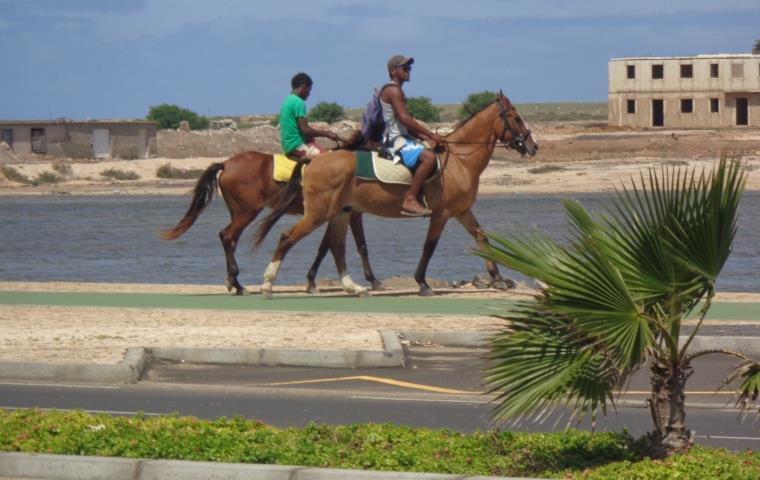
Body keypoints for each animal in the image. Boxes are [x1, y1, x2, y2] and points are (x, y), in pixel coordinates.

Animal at [163, 150, 382, 294]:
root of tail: (226, 163)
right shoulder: (350, 214)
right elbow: (358, 246)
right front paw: (373, 279)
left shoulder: (337, 214)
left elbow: (327, 247)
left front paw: (312, 281)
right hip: (247, 212)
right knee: (227, 236)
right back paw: (237, 283)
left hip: (238, 212)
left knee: (229, 239)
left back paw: (234, 282)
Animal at [255, 91, 540, 296]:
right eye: (515, 117)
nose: (533, 145)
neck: (460, 160)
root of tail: (314, 161)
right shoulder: (442, 214)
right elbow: (429, 246)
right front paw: (422, 282)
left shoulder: (462, 211)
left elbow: (482, 237)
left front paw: (498, 278)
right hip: (319, 213)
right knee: (288, 237)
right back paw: (268, 283)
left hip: (340, 213)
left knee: (336, 247)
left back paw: (352, 286)